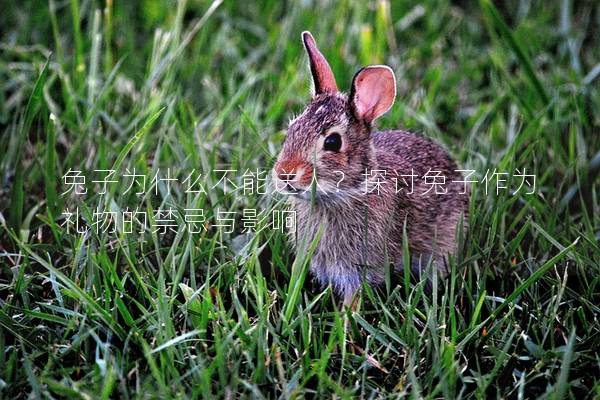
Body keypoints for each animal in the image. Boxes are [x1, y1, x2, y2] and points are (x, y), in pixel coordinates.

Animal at [270, 32, 468, 306]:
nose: (284, 173)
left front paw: (346, 315)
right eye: (291, 129)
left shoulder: (359, 268)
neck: (346, 193)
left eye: (333, 142)